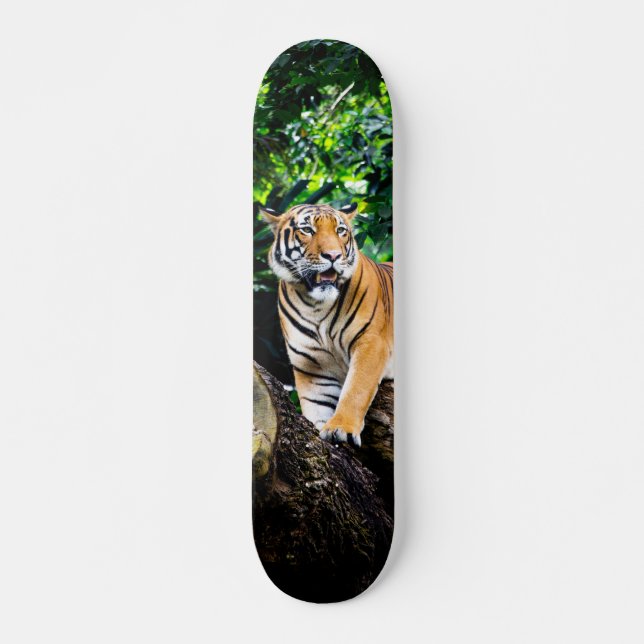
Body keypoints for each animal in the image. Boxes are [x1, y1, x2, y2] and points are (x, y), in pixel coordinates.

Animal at [260, 202, 393, 447]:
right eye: (307, 230)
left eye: (340, 231)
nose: (333, 255)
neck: (316, 306)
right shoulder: (311, 364)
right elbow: (317, 405)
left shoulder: (371, 342)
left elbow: (356, 389)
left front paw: (342, 429)